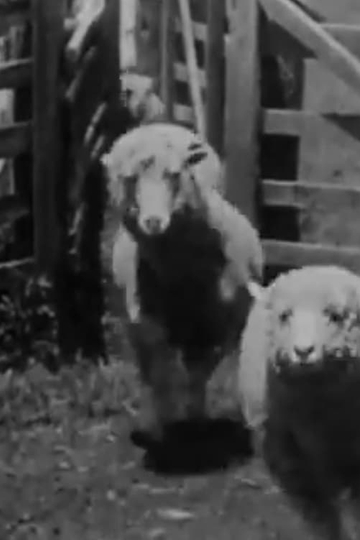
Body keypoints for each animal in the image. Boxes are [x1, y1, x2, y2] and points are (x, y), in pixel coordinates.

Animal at [101, 122, 264, 442]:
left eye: (174, 175)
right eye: (130, 179)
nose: (153, 222)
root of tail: (159, 125)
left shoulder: (216, 325)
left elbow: (199, 374)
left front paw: (196, 418)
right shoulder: (146, 323)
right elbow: (161, 375)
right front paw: (167, 423)